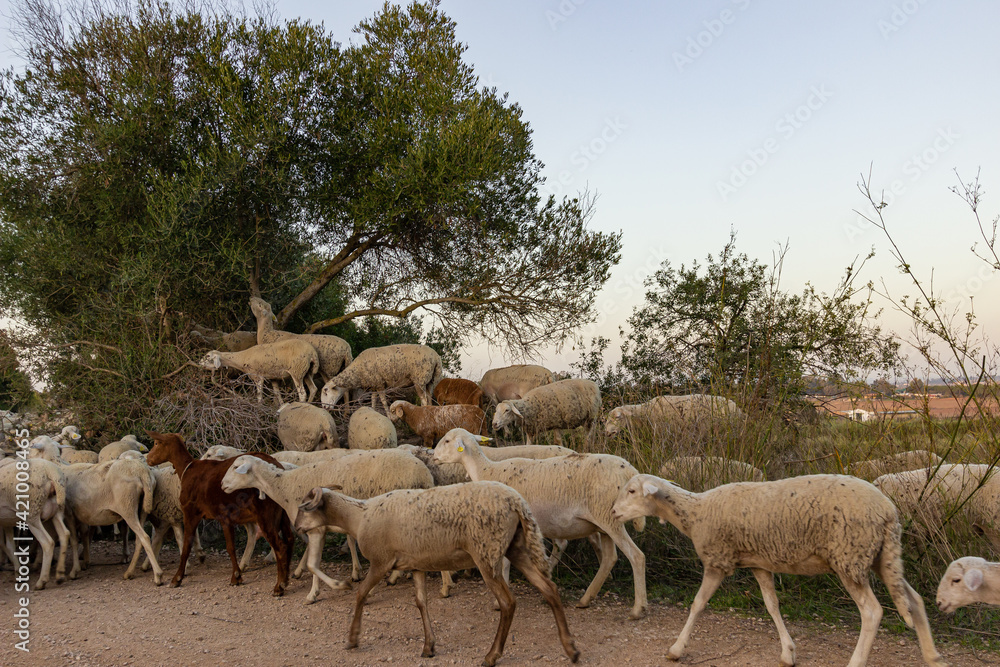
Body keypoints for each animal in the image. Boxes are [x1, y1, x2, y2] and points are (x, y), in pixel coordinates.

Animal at [0, 458, 71, 589]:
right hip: (57, 510)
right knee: (64, 534)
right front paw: (18, 573)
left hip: (31, 512)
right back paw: (60, 574)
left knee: (48, 542)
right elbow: (9, 546)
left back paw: (41, 581)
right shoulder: (6, 521)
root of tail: (50, 471)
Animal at [294, 482, 580, 666]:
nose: (295, 528)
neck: (358, 516)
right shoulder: (416, 564)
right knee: (549, 589)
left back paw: (492, 655)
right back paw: (571, 649)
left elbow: (361, 594)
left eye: (304, 507)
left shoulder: (381, 562)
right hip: (516, 546)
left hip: (486, 552)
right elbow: (421, 603)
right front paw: (428, 646)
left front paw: (353, 639)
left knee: (508, 603)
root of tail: (517, 501)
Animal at [433, 428, 648, 619]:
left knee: (636, 556)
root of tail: (630, 471)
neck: (487, 471)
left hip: (610, 519)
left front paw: (498, 601)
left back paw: (637, 609)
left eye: (447, 440)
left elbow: (504, 564)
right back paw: (585, 599)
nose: (433, 456)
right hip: (604, 523)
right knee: (609, 558)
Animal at [610, 473, 946, 667]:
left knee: (872, 612)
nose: (612, 512)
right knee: (914, 600)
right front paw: (788, 652)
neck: (695, 512)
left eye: (631, 491)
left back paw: (856, 661)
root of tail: (888, 511)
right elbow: (772, 606)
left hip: (849, 557)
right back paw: (932, 657)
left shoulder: (718, 561)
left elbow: (697, 604)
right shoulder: (759, 563)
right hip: (881, 556)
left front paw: (676, 649)